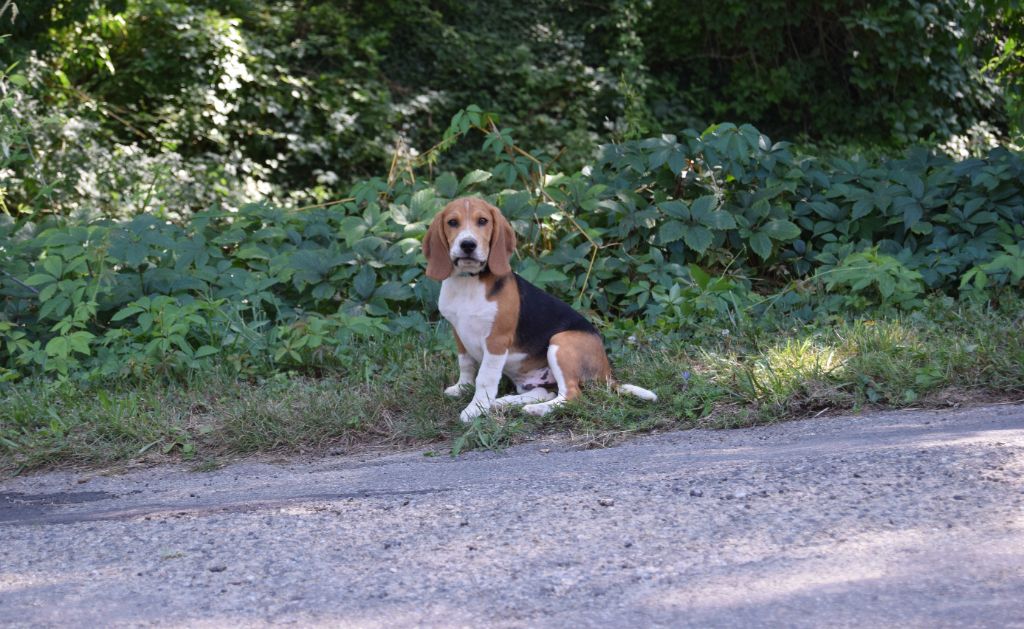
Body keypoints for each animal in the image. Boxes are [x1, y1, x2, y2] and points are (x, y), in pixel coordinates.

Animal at [421, 196, 655, 424]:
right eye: (452, 222)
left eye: (482, 221)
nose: (468, 244)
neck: (468, 282)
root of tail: (607, 371)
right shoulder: (458, 332)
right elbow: (466, 364)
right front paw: (462, 388)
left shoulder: (496, 340)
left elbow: (485, 378)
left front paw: (475, 409)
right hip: (533, 378)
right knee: (544, 392)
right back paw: (503, 402)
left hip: (561, 342)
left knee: (571, 395)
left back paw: (535, 409)